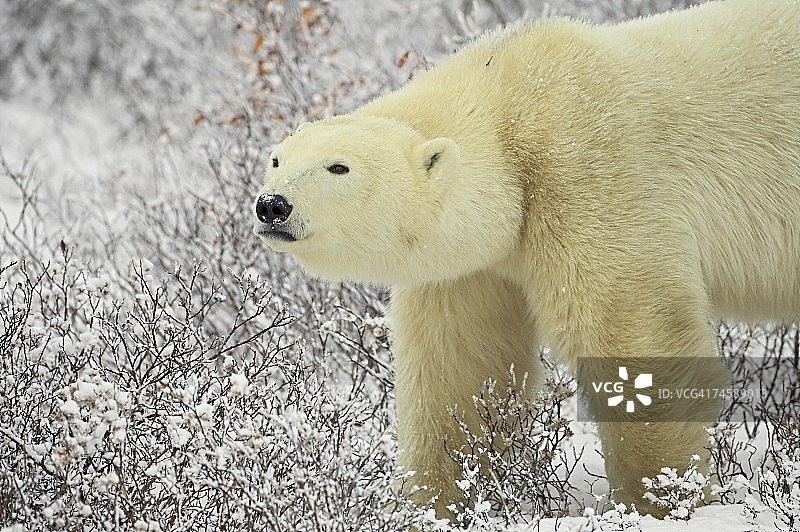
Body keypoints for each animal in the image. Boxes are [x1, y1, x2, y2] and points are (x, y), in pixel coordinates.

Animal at [253, 0, 800, 518]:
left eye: (338, 167)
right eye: (277, 159)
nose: (272, 205)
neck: (511, 97)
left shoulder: (589, 172)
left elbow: (634, 335)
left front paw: (662, 498)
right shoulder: (473, 264)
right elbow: (461, 370)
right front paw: (440, 502)